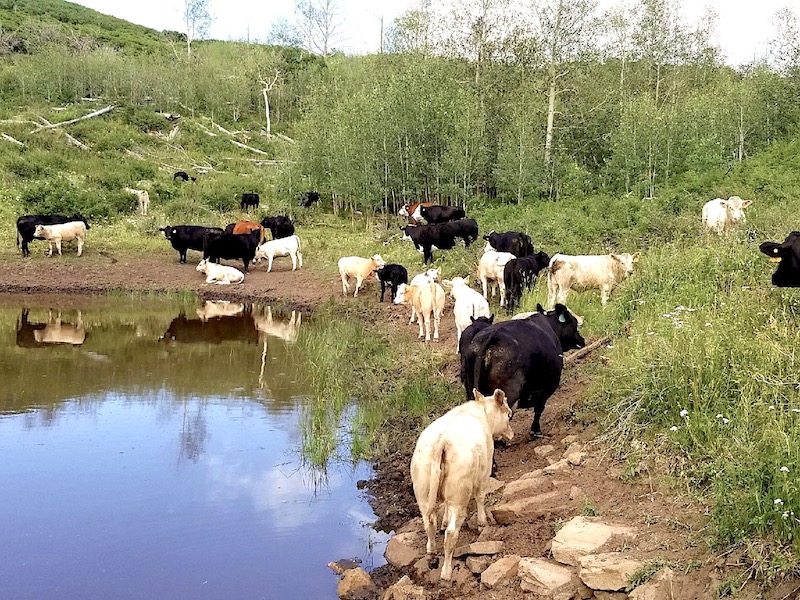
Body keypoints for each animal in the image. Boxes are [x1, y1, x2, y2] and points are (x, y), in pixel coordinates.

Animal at [412, 390, 512, 580]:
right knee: (451, 534)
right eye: (509, 414)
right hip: (459, 496)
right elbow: (480, 496)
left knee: (429, 523)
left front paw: (444, 521)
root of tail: (442, 440)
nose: (511, 433)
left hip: (423, 494)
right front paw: (482, 522)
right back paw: (446, 572)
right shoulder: (484, 472)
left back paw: (431, 551)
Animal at [460, 304, 584, 436]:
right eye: (574, 323)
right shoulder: (544, 389)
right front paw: (535, 430)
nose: (582, 340)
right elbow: (539, 409)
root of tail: (492, 336)